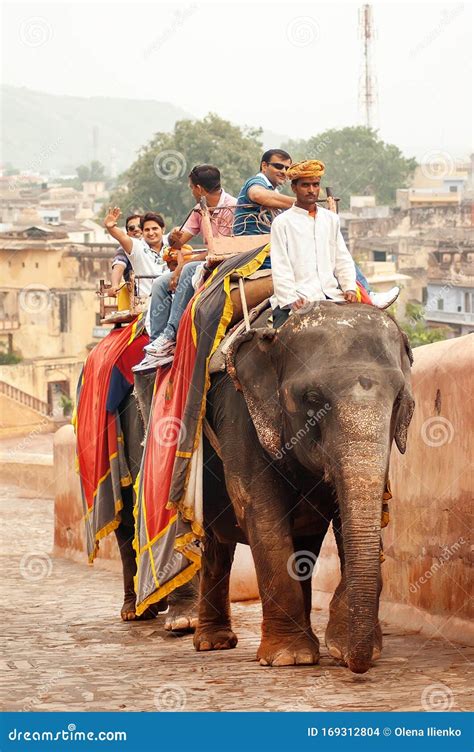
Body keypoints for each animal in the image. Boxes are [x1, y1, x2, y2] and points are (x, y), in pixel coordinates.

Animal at [193, 302, 414, 676]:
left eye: (398, 399)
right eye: (311, 397)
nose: (356, 664)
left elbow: (348, 517)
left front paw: (340, 645)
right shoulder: (242, 417)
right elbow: (261, 512)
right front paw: (289, 658)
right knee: (214, 545)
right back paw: (212, 642)